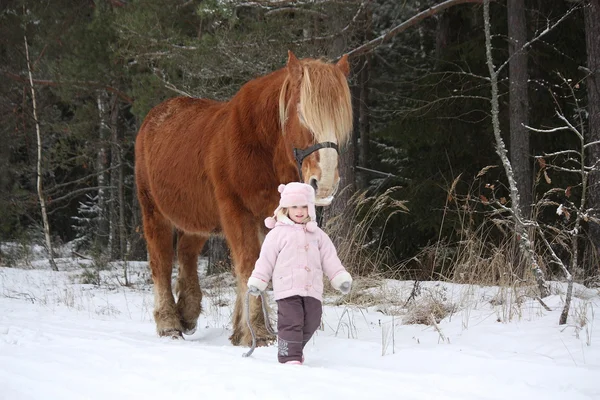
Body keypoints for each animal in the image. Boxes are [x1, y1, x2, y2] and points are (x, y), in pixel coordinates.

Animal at [135, 50, 352, 346]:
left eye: (340, 121)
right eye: (302, 114)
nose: (326, 184)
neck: (261, 147)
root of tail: (153, 118)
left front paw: (242, 329)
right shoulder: (237, 211)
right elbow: (249, 263)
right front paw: (257, 331)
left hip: (198, 218)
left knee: (187, 253)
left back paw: (187, 313)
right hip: (153, 210)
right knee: (162, 260)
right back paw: (169, 323)